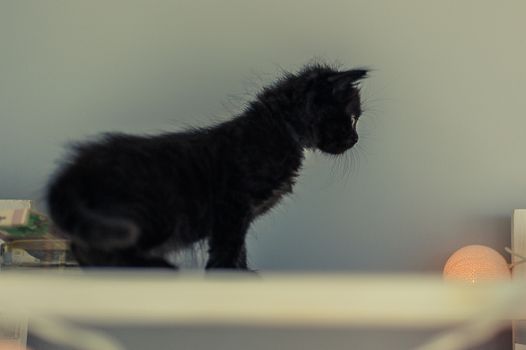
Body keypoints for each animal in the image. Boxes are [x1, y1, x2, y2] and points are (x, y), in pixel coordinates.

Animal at [45, 63, 370, 270]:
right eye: (351, 118)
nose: (355, 139)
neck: (280, 129)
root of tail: (78, 165)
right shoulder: (232, 205)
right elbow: (229, 246)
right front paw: (228, 276)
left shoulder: (239, 215)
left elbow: (238, 248)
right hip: (152, 214)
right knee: (97, 246)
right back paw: (154, 267)